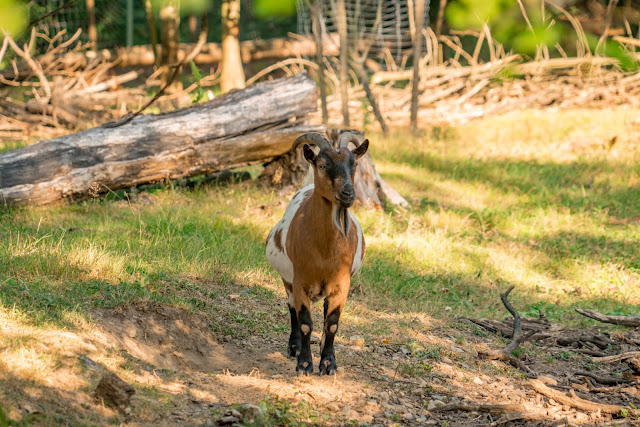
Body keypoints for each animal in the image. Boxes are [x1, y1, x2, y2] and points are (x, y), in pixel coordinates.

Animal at [264, 132, 364, 376]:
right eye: (322, 165)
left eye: (354, 164)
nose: (348, 193)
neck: (325, 252)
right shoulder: (300, 282)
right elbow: (305, 323)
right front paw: (304, 364)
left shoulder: (342, 284)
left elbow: (332, 323)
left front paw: (328, 363)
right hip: (287, 280)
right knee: (291, 309)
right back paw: (294, 347)